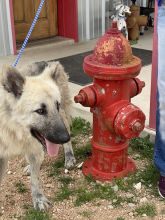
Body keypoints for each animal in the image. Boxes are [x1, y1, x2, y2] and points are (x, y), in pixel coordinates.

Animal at [0, 61, 75, 210]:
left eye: (56, 105)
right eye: (40, 111)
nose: (65, 138)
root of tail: (47, 62)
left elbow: (35, 180)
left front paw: (38, 199)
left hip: (63, 116)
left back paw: (69, 156)